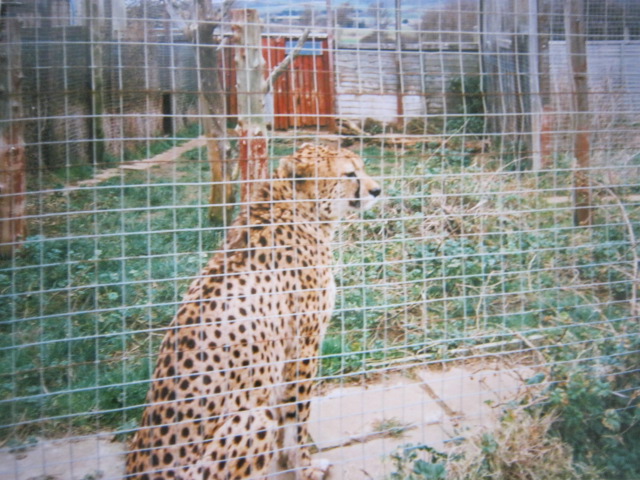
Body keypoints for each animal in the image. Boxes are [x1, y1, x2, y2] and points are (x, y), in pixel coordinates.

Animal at [125, 144, 381, 480]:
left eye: (361, 168)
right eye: (350, 174)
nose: (377, 190)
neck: (296, 209)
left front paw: (290, 461)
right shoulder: (304, 345)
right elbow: (297, 413)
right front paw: (303, 466)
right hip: (254, 419)